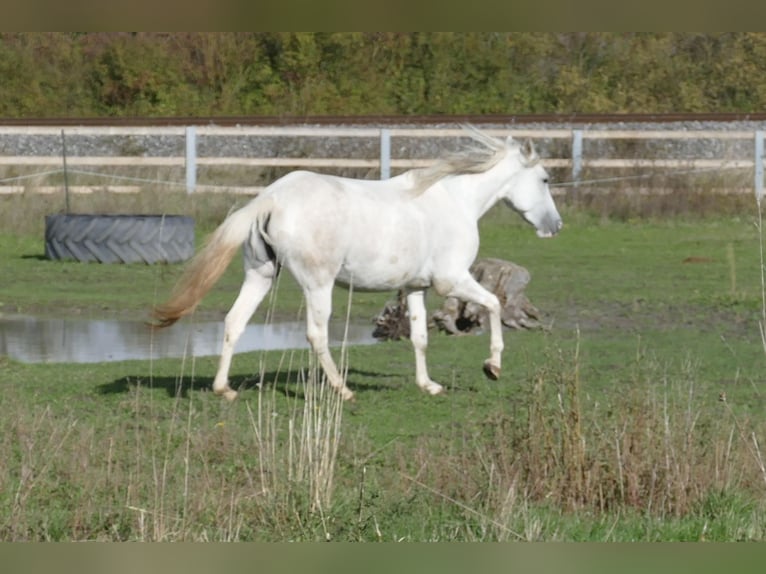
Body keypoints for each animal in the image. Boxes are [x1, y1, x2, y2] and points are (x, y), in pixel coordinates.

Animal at [154, 128, 564, 402]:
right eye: (545, 179)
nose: (555, 226)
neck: (455, 200)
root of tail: (270, 198)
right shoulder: (452, 280)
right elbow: (493, 305)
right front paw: (492, 366)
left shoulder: (416, 287)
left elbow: (420, 337)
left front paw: (428, 386)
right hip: (317, 285)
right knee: (316, 335)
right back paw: (343, 390)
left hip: (261, 275)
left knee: (234, 322)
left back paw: (223, 389)